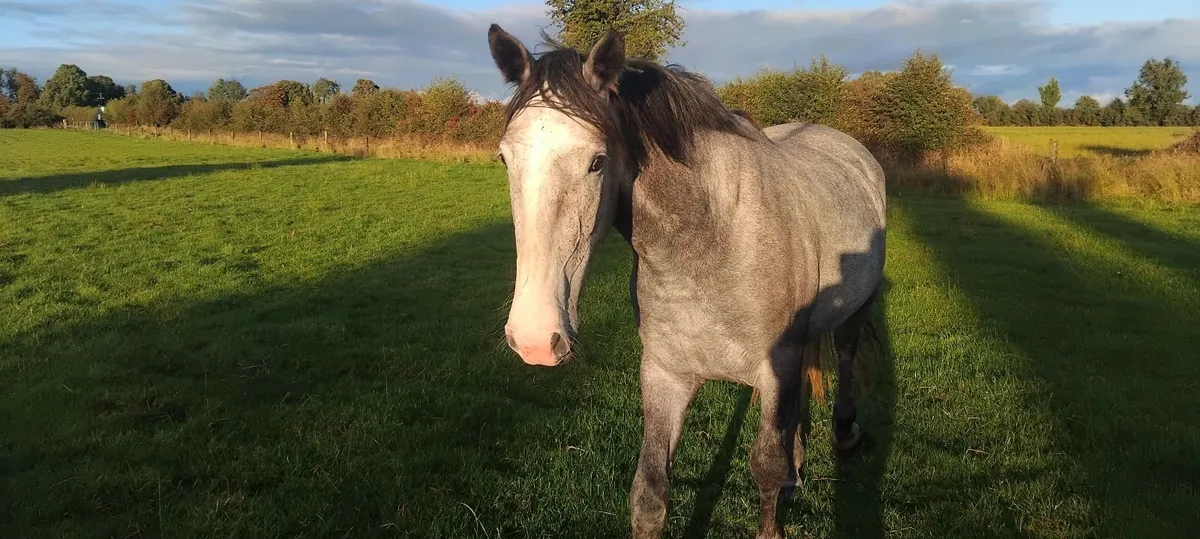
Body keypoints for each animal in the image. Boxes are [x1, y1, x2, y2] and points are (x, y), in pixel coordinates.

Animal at [487, 24, 887, 539]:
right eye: (505, 159)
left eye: (597, 161)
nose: (535, 339)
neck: (709, 244)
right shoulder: (665, 375)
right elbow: (650, 495)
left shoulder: (774, 369)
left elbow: (765, 468)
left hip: (855, 313)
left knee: (847, 360)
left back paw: (844, 432)